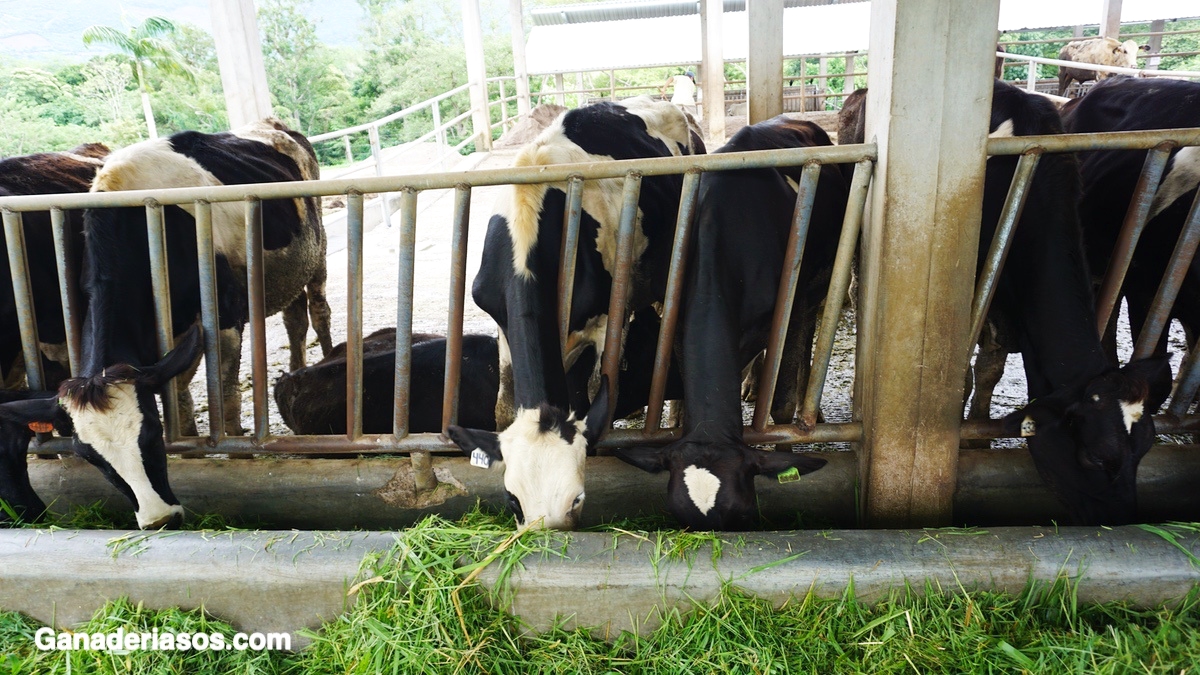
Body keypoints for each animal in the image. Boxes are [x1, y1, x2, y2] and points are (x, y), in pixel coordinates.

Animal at [444, 97, 700, 528]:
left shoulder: (604, 322)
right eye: (512, 500)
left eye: (577, 500)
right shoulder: (502, 325)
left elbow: (596, 390)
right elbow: (502, 407)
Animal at [840, 78, 1166, 521]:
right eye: (1096, 458)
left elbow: (991, 370)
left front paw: (978, 435)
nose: (1126, 520)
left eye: (1145, 448)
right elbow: (963, 374)